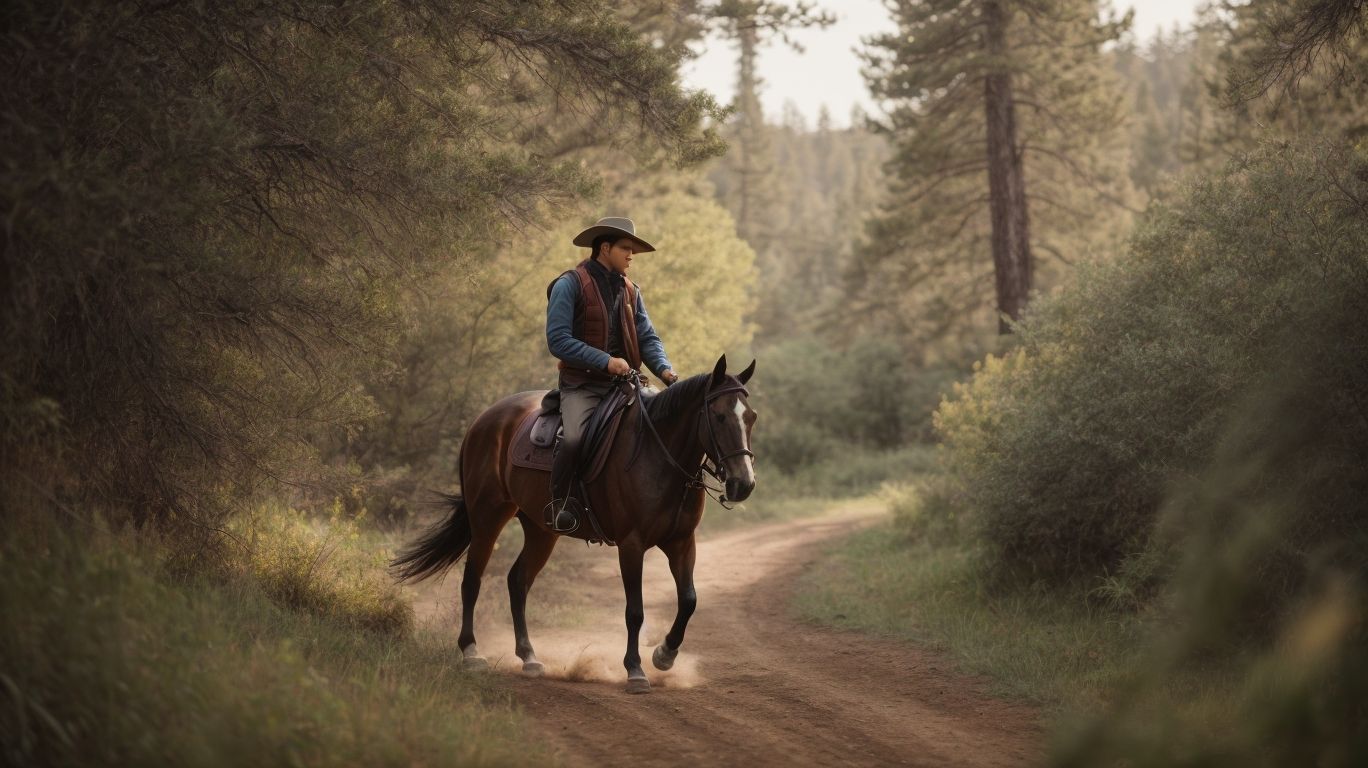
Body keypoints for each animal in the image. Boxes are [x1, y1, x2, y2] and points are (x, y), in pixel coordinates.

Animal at [392, 354, 757, 693]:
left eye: (750, 417)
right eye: (719, 416)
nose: (743, 484)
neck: (658, 454)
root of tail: (482, 421)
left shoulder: (682, 542)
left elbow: (689, 600)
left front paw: (664, 655)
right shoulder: (632, 544)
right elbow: (635, 611)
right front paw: (635, 670)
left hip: (541, 530)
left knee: (518, 581)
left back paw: (529, 657)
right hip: (488, 516)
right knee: (472, 580)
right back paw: (472, 653)